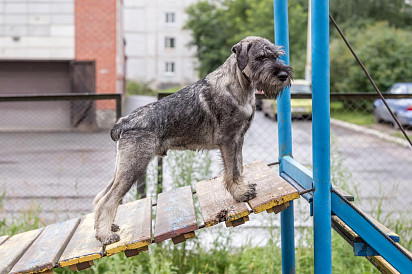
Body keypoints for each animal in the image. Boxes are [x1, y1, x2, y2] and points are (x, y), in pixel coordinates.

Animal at [93, 35, 292, 244]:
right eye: (261, 57)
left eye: (276, 55)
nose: (283, 75)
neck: (238, 85)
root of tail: (122, 123)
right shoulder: (229, 141)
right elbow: (232, 171)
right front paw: (240, 194)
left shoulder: (238, 140)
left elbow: (239, 166)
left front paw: (244, 187)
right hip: (134, 166)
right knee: (108, 200)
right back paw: (105, 235)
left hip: (123, 167)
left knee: (101, 197)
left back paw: (103, 228)